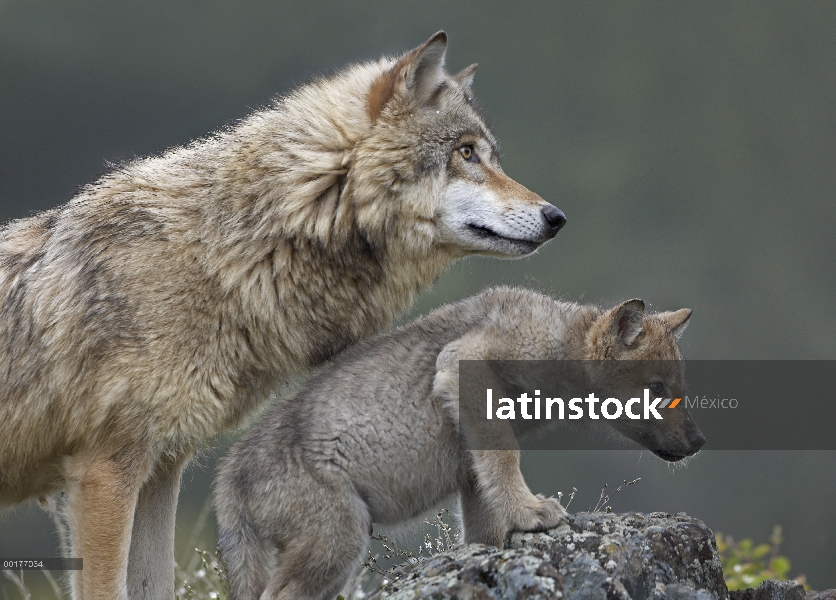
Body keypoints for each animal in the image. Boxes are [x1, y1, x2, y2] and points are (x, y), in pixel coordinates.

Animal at [0, 34, 568, 600]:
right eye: (466, 153)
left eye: (491, 157)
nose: (556, 217)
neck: (226, 255)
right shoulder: (103, 471)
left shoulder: (159, 470)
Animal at [214, 286, 700, 600]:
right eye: (657, 388)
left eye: (678, 385)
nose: (700, 441)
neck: (559, 342)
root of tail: (228, 477)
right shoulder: (464, 366)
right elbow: (506, 460)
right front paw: (532, 513)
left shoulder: (471, 465)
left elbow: (485, 521)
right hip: (338, 543)